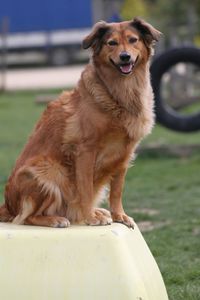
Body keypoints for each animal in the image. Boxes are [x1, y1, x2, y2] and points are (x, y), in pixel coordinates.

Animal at [0, 17, 160, 229]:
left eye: (133, 40)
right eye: (112, 43)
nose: (125, 57)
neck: (119, 93)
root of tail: (8, 205)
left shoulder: (124, 153)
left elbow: (117, 190)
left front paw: (119, 215)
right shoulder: (85, 151)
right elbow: (85, 188)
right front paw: (89, 217)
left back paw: (97, 212)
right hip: (50, 170)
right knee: (27, 217)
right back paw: (57, 219)